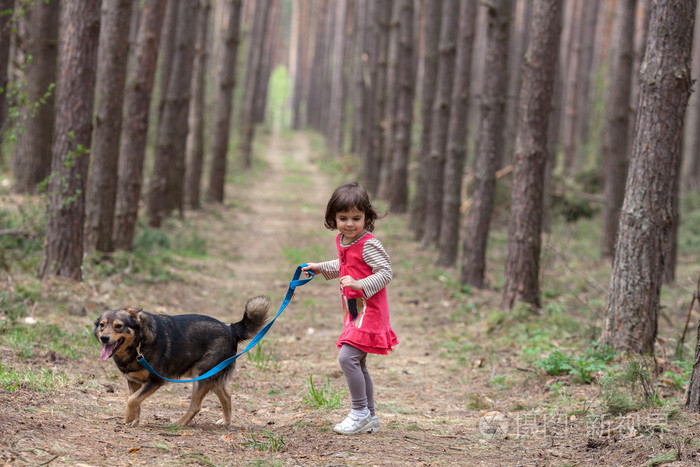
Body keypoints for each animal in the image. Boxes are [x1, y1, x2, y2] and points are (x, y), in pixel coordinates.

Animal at [93, 296, 268, 428]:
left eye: (119, 326)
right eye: (102, 325)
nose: (104, 338)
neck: (139, 343)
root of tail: (231, 329)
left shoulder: (156, 380)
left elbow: (132, 399)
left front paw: (129, 418)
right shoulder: (133, 381)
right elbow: (136, 401)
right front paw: (134, 420)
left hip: (202, 375)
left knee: (196, 406)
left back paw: (179, 424)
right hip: (211, 375)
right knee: (227, 396)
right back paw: (225, 422)